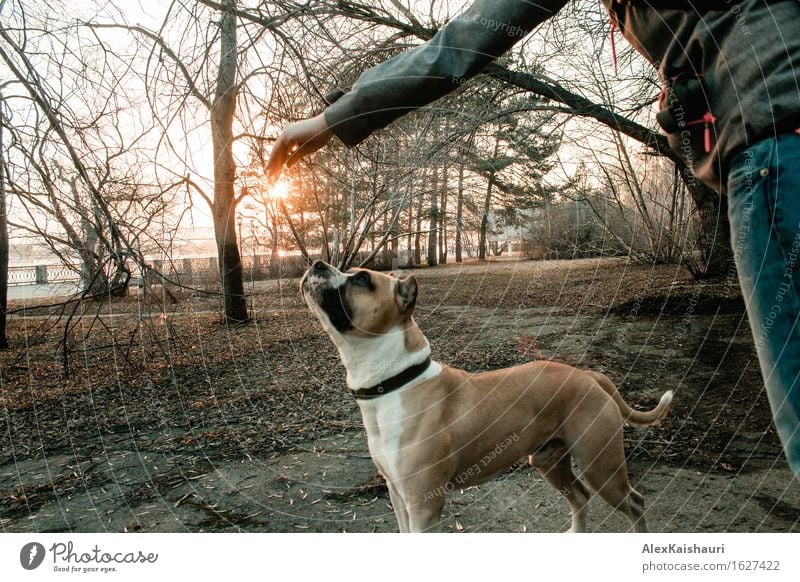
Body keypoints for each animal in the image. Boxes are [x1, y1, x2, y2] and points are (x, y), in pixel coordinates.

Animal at [304, 262, 672, 536]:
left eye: (362, 279)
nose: (318, 263)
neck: (397, 382)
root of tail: (589, 375)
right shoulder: (398, 496)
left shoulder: (424, 505)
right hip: (549, 460)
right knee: (579, 497)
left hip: (601, 465)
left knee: (634, 503)